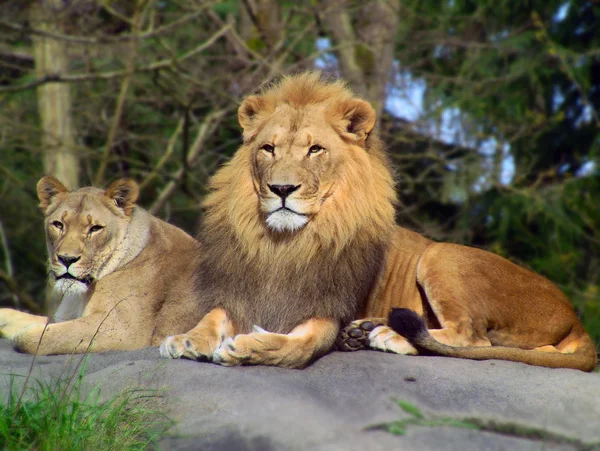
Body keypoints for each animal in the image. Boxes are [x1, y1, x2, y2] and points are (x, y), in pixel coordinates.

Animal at [0, 175, 204, 354]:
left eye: (95, 228)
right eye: (58, 225)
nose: (67, 259)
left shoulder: (122, 329)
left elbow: (37, 337)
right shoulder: (65, 317)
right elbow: (14, 315)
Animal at [162, 72, 596, 372]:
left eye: (315, 149)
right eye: (268, 148)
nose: (282, 188)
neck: (283, 243)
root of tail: (575, 317)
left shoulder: (324, 313)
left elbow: (294, 347)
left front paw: (247, 348)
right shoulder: (241, 292)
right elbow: (211, 317)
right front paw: (186, 339)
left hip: (441, 256)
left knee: (474, 340)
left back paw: (389, 335)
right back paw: (365, 331)